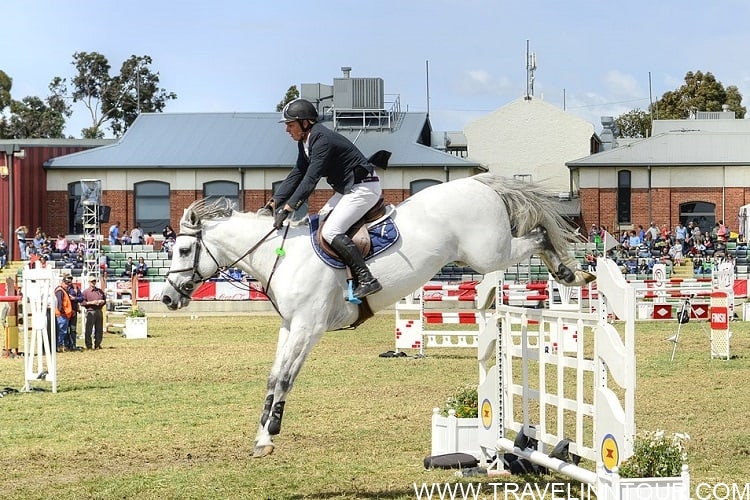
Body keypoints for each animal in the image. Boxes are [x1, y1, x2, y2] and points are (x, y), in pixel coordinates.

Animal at [162, 172, 596, 458]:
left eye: (183, 250)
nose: (166, 298)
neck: (281, 256)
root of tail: (480, 183)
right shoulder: (290, 326)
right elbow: (273, 377)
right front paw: (262, 434)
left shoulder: (308, 328)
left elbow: (286, 378)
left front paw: (269, 436)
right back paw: (570, 272)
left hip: (489, 253)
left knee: (538, 235)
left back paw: (572, 272)